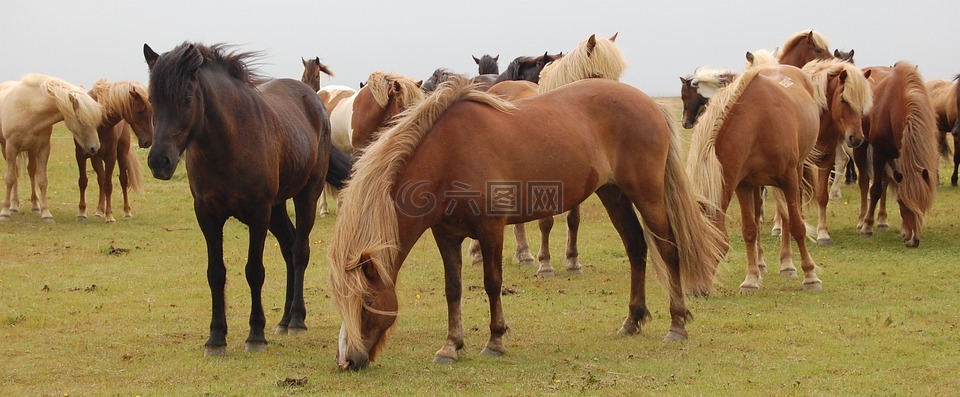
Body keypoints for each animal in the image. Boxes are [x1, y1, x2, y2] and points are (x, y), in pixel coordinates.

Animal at [0, 73, 101, 223]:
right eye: (81, 120)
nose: (95, 148)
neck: (29, 108)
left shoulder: (43, 149)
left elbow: (42, 180)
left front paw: (46, 214)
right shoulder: (11, 147)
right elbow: (10, 178)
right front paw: (5, 212)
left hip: (31, 150)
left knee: (31, 172)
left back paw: (35, 206)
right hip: (6, 149)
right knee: (15, 174)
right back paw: (13, 207)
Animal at [76, 79, 153, 223]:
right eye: (140, 112)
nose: (148, 141)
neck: (99, 122)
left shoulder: (110, 156)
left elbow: (109, 185)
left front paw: (109, 215)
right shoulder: (80, 155)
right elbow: (83, 182)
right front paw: (82, 212)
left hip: (122, 154)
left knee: (123, 180)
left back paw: (127, 211)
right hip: (96, 158)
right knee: (101, 179)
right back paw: (99, 210)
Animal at [142, 41, 352, 354]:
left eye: (187, 99)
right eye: (152, 100)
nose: (159, 161)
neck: (228, 143)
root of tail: (314, 101)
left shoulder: (258, 213)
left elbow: (254, 271)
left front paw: (255, 334)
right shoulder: (207, 215)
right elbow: (215, 273)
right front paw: (216, 337)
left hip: (306, 196)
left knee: (299, 251)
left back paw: (296, 320)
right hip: (277, 208)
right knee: (288, 248)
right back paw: (284, 319)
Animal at [326, 78, 724, 372]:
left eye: (366, 300)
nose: (349, 361)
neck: (448, 154)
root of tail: (649, 103)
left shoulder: (491, 230)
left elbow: (492, 283)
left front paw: (495, 340)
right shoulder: (446, 235)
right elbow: (453, 288)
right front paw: (451, 346)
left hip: (647, 194)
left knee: (668, 249)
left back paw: (677, 325)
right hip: (613, 194)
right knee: (636, 247)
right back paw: (632, 320)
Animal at [856, 61, 936, 248]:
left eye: (923, 202)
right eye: (901, 202)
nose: (913, 241)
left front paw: (905, 230)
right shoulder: (879, 152)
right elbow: (875, 190)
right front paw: (867, 227)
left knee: (885, 181)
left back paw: (882, 221)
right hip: (861, 146)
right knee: (864, 181)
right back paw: (862, 220)